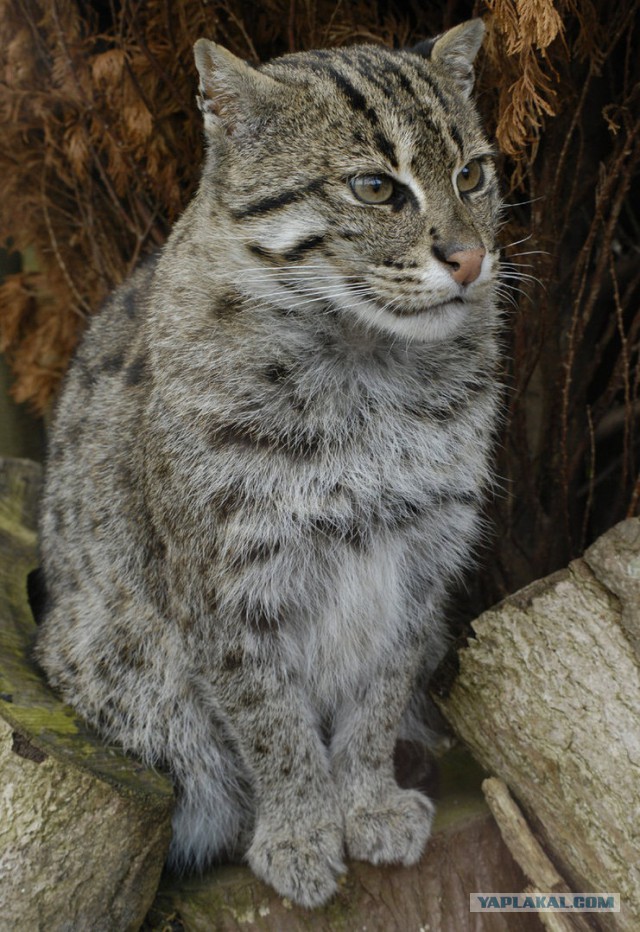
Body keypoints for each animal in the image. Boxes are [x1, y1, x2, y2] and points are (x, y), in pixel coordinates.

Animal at [36, 20, 500, 912]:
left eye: (474, 174)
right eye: (375, 188)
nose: (471, 259)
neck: (369, 365)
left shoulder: (422, 562)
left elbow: (377, 698)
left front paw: (368, 804)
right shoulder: (228, 582)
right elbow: (271, 723)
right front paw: (301, 833)